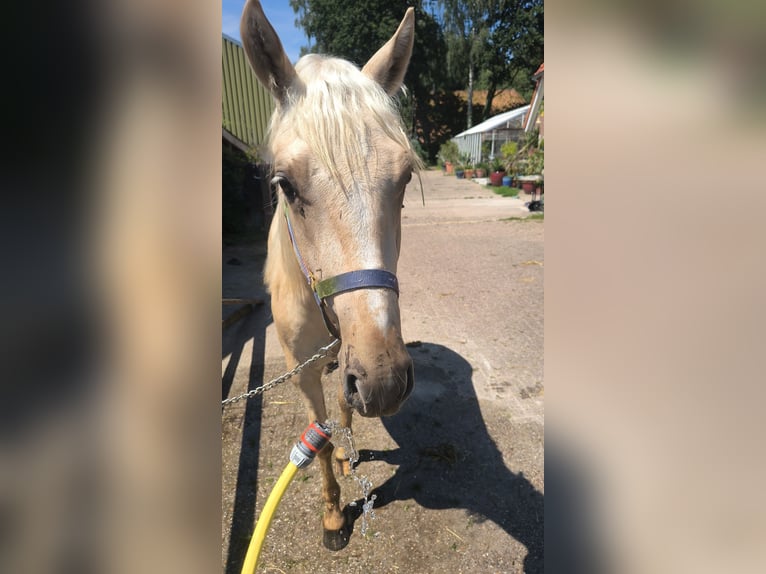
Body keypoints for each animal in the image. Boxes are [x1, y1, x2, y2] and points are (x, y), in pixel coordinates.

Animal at [240, 0, 419, 550]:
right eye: (285, 185)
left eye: (405, 177)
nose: (386, 382)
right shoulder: (303, 371)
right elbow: (314, 440)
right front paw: (334, 516)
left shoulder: (353, 352)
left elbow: (342, 410)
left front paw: (344, 455)